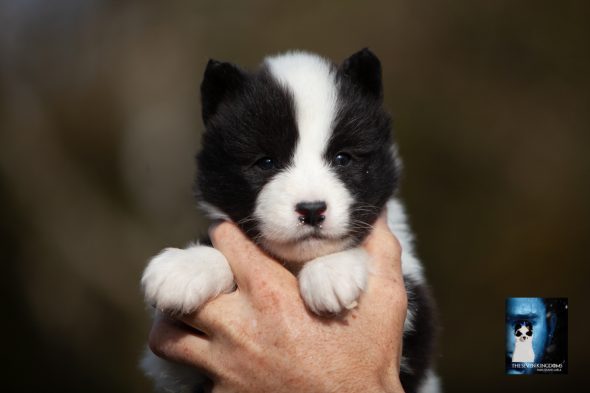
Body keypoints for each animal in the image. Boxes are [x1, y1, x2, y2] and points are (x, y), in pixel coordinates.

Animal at [142, 49, 440, 392]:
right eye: (266, 162)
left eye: (343, 158)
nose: (311, 210)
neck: (295, 264)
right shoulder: (174, 367)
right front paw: (186, 267)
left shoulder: (415, 315)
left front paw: (331, 271)